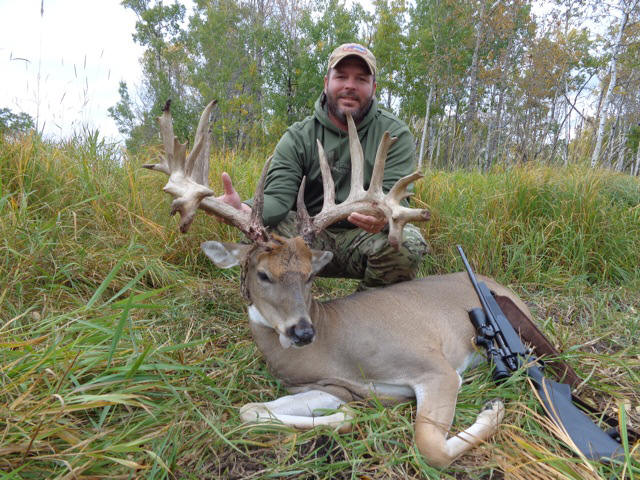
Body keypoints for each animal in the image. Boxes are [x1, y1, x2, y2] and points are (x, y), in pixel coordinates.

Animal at [143, 99, 535, 468]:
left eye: (310, 275)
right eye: (263, 274)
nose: (302, 332)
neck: (332, 346)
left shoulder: (435, 366)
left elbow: (430, 446)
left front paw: (494, 408)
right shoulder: (328, 385)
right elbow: (250, 410)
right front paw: (342, 417)